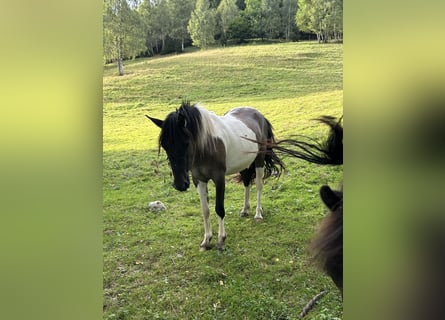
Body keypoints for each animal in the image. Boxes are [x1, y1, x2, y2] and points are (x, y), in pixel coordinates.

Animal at [147, 101, 284, 251]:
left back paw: (258, 214)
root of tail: (259, 115)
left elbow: (219, 209)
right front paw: (206, 240)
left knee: (259, 186)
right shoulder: (199, 180)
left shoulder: (219, 179)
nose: (180, 185)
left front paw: (221, 240)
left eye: (186, 142)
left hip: (259, 160)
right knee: (247, 182)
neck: (206, 146)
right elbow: (205, 210)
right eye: (165, 145)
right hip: (244, 163)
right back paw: (245, 210)